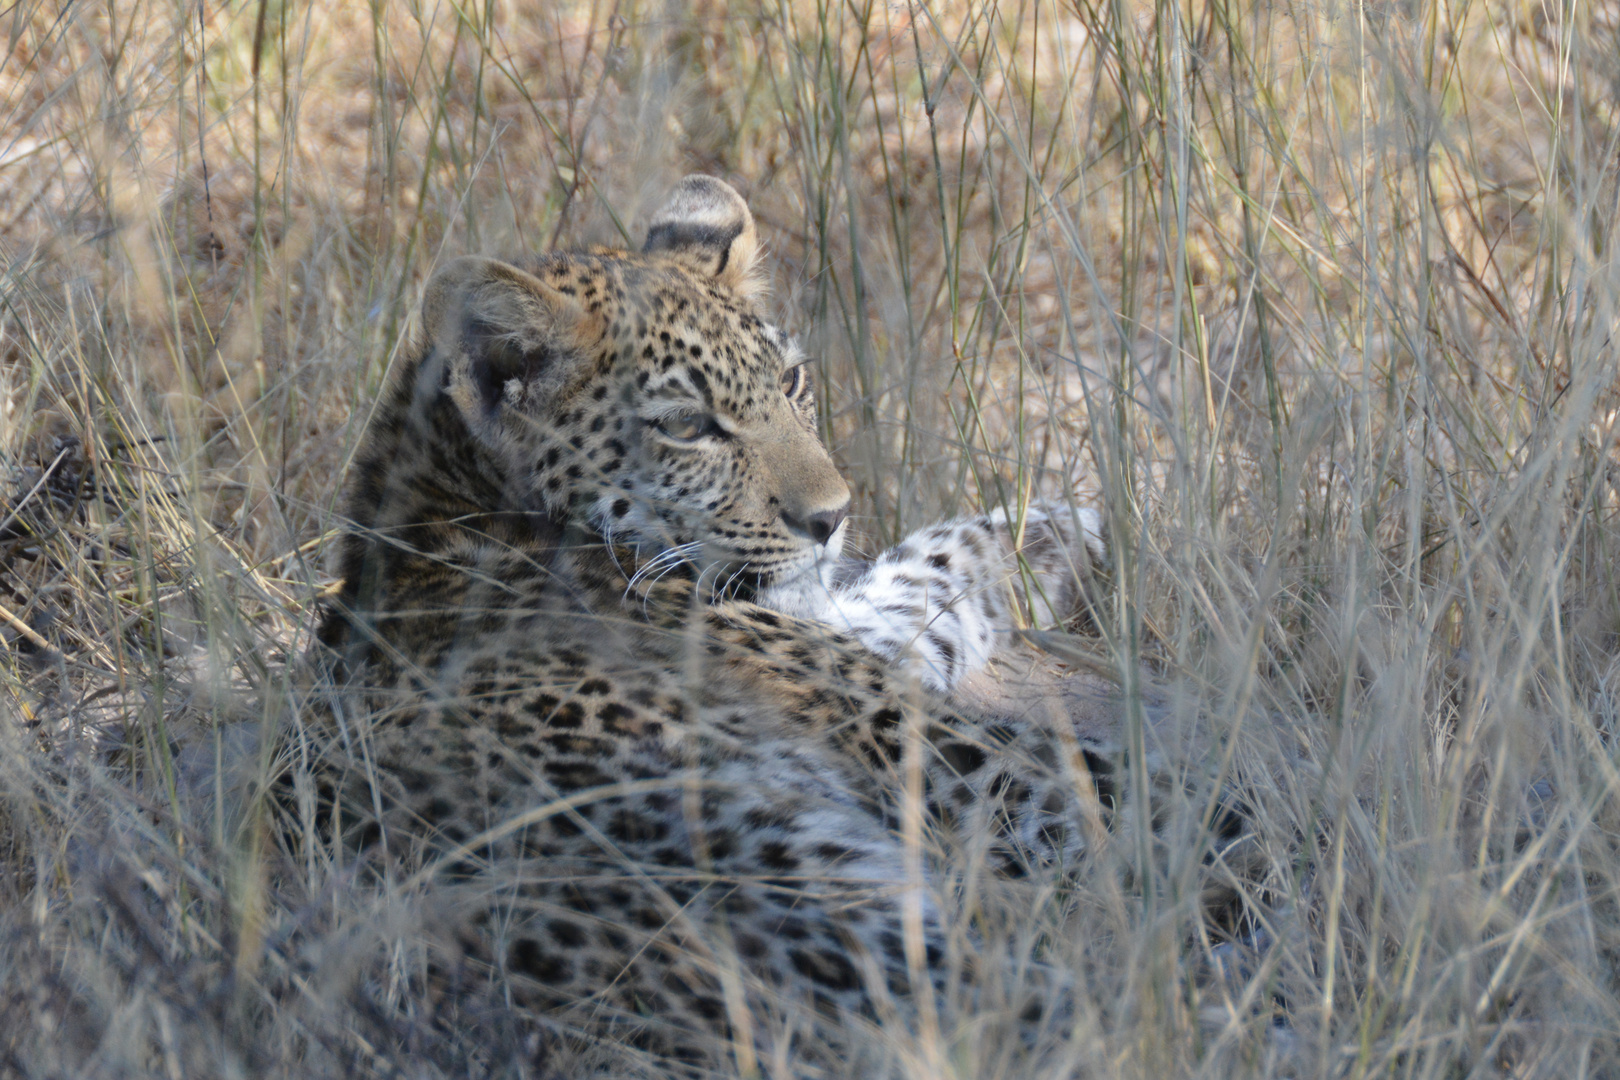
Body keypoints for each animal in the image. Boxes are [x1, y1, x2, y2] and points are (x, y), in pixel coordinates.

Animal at [291, 175, 1121, 1075]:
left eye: (790, 381)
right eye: (688, 427)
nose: (832, 517)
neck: (444, 509)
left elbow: (914, 585)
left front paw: (1049, 529)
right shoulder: (908, 734)